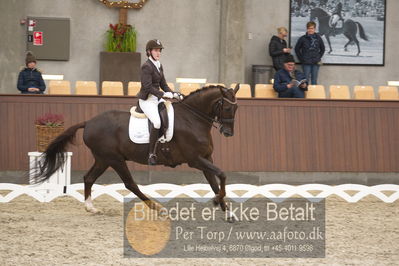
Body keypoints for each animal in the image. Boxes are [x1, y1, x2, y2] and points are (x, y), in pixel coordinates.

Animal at [33, 85, 238, 220]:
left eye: (236, 108)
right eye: (227, 107)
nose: (228, 133)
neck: (192, 119)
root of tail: (89, 122)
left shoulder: (206, 158)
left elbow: (215, 183)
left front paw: (227, 212)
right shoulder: (195, 159)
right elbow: (222, 175)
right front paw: (217, 202)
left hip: (103, 159)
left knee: (89, 178)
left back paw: (91, 208)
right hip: (114, 159)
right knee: (130, 184)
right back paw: (159, 209)